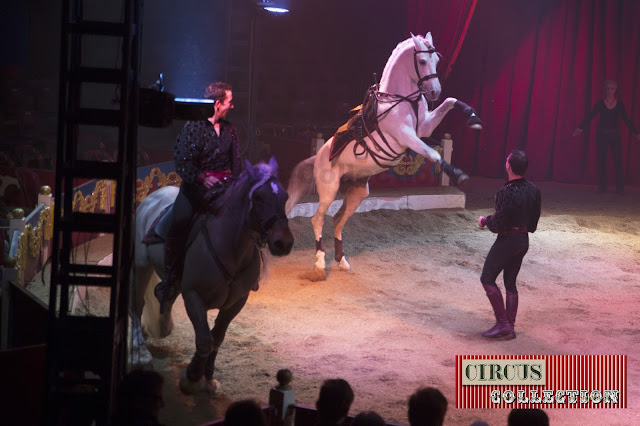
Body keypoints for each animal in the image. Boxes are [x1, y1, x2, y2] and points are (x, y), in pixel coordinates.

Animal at [131, 158, 296, 394]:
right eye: (258, 198)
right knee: (137, 304)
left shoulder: (237, 302)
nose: (283, 243)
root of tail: (152, 197)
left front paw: (208, 377)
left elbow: (217, 337)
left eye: (284, 196)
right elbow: (204, 340)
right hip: (141, 265)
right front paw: (192, 378)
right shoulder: (193, 296)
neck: (230, 249)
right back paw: (140, 351)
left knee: (165, 297)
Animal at [284, 34, 480, 280]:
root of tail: (317, 157)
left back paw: (342, 261)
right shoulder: (406, 135)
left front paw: (473, 118)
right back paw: (320, 265)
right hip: (328, 190)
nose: (434, 92)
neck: (401, 100)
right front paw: (458, 174)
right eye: (422, 61)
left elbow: (451, 101)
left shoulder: (424, 128)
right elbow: (433, 152)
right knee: (318, 219)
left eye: (436, 59)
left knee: (337, 220)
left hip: (358, 193)